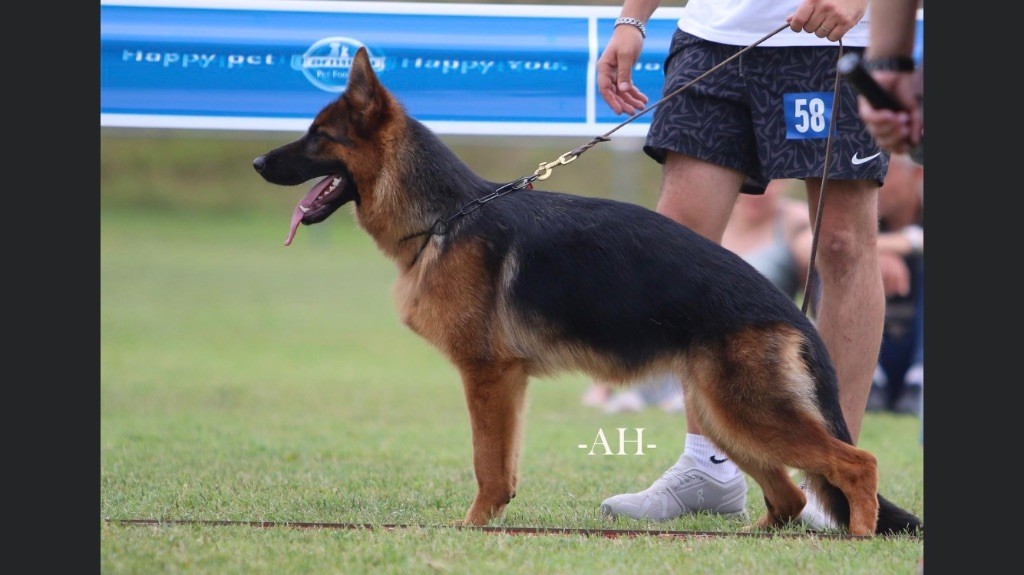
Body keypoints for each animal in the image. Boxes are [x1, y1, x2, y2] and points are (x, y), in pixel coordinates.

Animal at [251, 47, 925, 536]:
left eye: (318, 137)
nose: (257, 164)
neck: (446, 215)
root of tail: (794, 312)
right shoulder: (506, 382)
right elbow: (503, 466)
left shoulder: (487, 374)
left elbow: (486, 464)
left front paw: (471, 528)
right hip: (723, 414)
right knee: (788, 495)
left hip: (747, 411)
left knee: (855, 464)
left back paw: (856, 538)